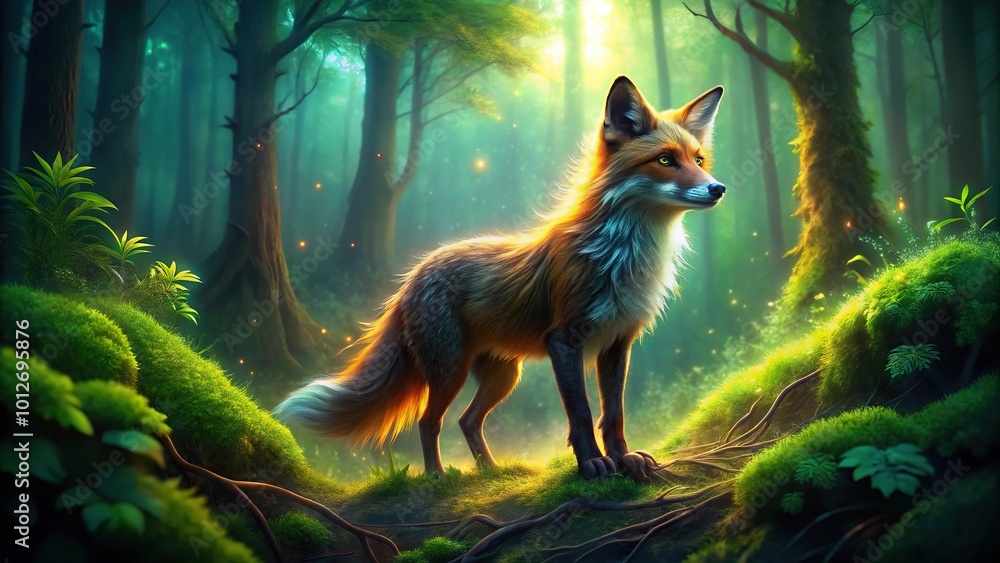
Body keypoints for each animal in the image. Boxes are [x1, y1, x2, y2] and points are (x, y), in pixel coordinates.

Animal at [275, 76, 726, 480]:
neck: (624, 256)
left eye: (698, 160)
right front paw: (592, 465)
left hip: (502, 377)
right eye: (665, 160)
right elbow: (581, 414)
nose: (718, 188)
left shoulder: (617, 343)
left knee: (468, 421)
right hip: (450, 370)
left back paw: (492, 472)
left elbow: (613, 414)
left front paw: (624, 458)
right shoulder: (565, 340)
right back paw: (438, 476)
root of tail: (413, 275)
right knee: (429, 421)